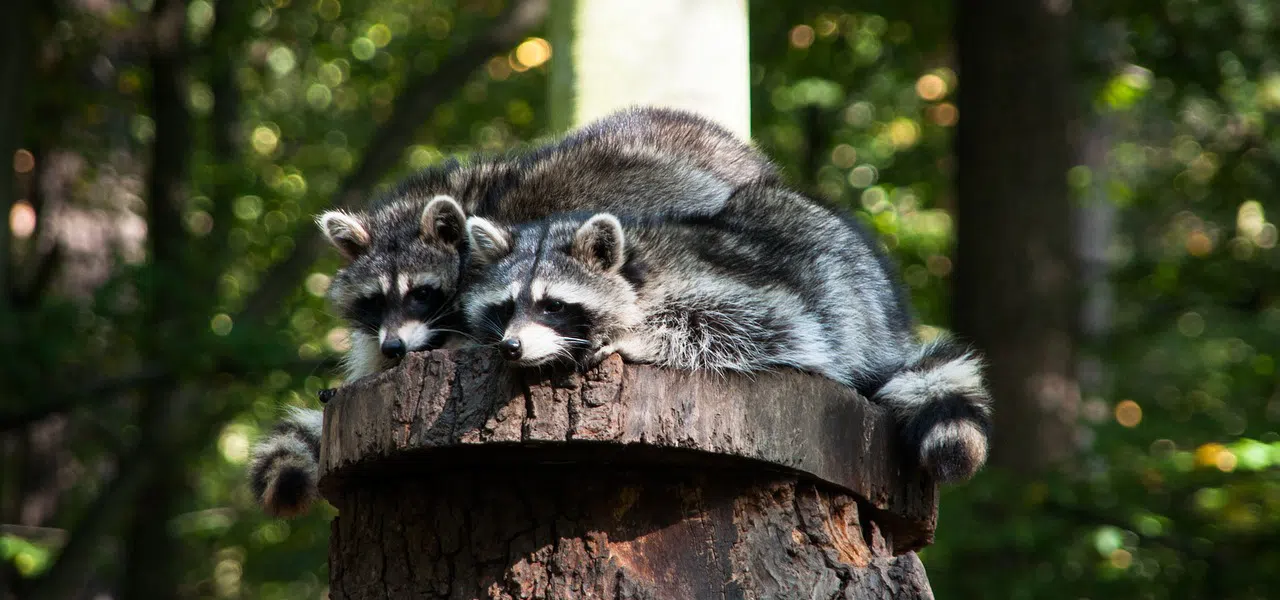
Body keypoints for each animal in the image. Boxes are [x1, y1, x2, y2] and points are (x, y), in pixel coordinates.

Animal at [462, 184, 991, 483]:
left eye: (552, 305)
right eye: (506, 306)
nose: (511, 347)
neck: (637, 267)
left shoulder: (752, 297)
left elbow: (739, 326)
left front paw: (637, 338)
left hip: (852, 301)